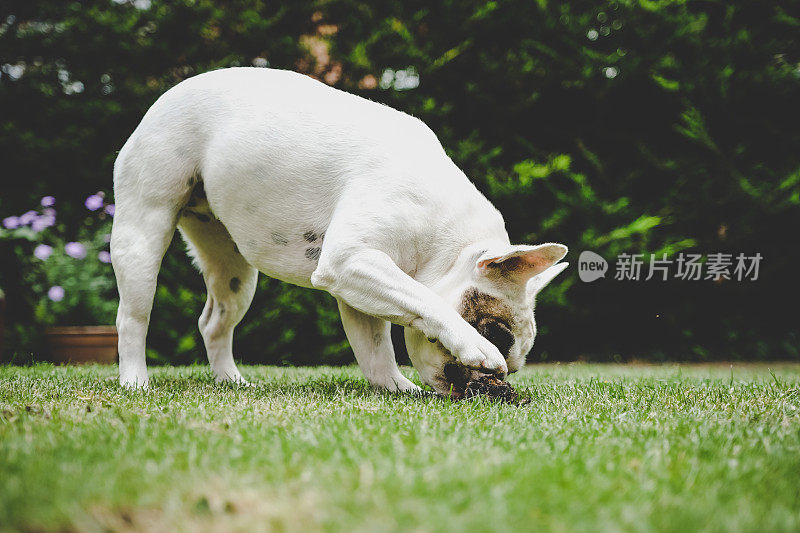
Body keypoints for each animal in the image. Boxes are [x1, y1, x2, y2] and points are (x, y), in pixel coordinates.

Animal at [111, 67, 568, 394]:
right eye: (496, 334)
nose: (492, 384)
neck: (446, 245)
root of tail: (168, 95)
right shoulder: (351, 260)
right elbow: (423, 300)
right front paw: (474, 348)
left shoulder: (358, 283)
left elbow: (375, 349)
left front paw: (397, 388)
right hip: (143, 233)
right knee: (133, 317)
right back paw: (136, 381)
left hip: (234, 271)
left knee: (214, 323)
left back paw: (231, 380)